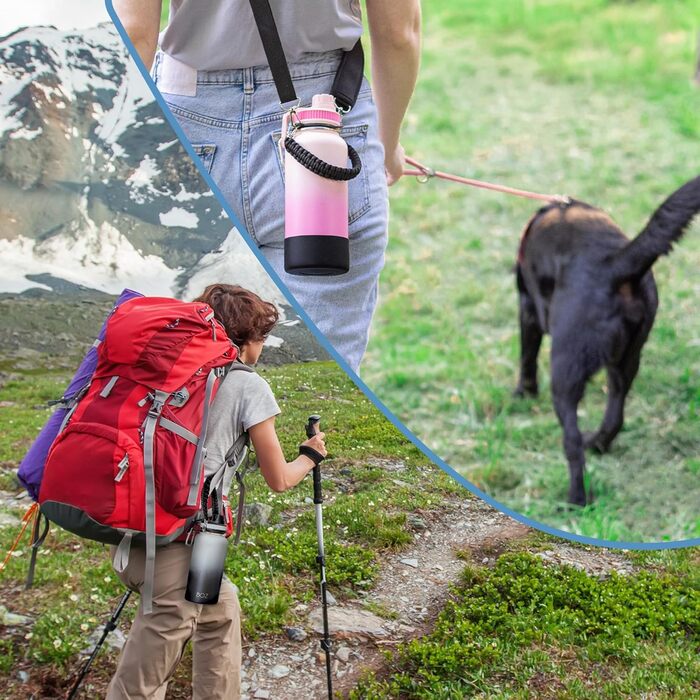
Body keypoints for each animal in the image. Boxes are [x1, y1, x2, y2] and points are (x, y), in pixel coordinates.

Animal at [516, 174, 700, 504]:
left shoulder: (528, 309)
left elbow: (527, 357)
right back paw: (598, 444)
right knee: (616, 412)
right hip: (628, 359)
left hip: (565, 371)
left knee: (572, 442)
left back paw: (576, 499)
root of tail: (613, 264)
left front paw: (523, 393)